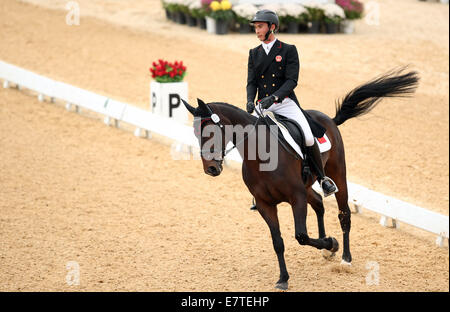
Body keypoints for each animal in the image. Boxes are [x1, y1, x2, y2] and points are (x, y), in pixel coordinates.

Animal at [180, 68, 418, 290]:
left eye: (211, 131)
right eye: (196, 133)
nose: (211, 169)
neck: (261, 156)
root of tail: (328, 119)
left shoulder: (297, 197)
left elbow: (301, 236)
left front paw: (331, 243)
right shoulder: (266, 204)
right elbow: (278, 242)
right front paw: (283, 278)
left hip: (338, 174)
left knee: (344, 213)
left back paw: (345, 258)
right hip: (308, 184)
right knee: (319, 203)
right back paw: (328, 251)